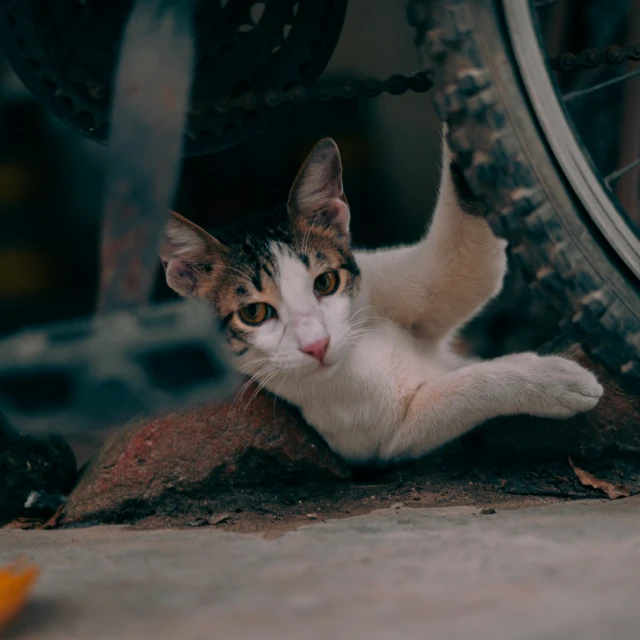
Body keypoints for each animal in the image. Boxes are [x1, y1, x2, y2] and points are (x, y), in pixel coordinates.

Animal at [161, 127, 604, 462]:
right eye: (254, 313)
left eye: (325, 283)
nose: (318, 344)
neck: (361, 347)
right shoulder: (386, 438)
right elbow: (463, 390)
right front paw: (557, 380)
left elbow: (471, 265)